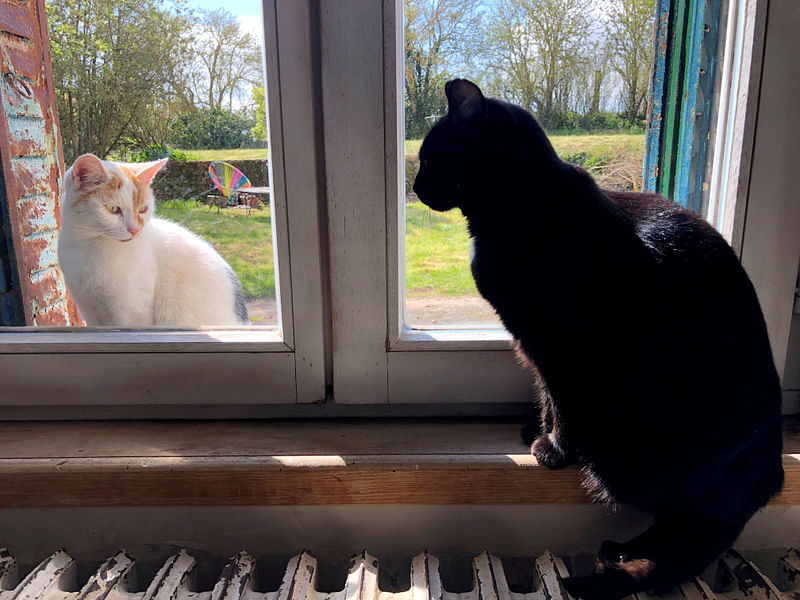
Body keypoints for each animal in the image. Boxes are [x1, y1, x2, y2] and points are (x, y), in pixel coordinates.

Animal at [57, 152, 247, 326]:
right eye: (113, 209)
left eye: (142, 209)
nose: (134, 230)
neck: (89, 245)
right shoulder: (88, 307)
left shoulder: (132, 312)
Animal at [412, 79, 780, 600]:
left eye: (430, 158)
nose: (415, 187)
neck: (523, 205)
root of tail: (772, 471)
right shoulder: (533, 345)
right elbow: (545, 394)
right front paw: (539, 431)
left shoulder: (558, 344)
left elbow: (562, 400)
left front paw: (555, 449)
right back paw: (618, 552)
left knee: (682, 539)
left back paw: (608, 564)